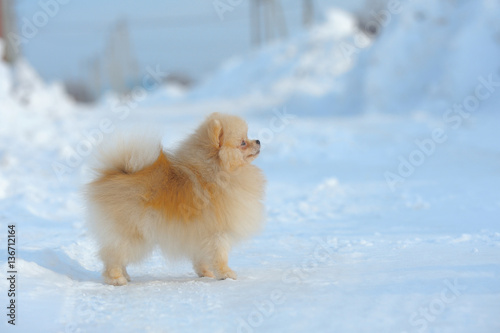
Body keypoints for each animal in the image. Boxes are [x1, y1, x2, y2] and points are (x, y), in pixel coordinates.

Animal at [85, 113, 266, 284]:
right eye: (242, 143)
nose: (258, 141)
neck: (217, 171)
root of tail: (114, 173)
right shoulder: (217, 232)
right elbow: (220, 255)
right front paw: (225, 274)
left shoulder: (200, 233)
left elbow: (201, 257)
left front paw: (206, 273)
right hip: (131, 233)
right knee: (113, 255)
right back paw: (116, 278)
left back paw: (125, 275)